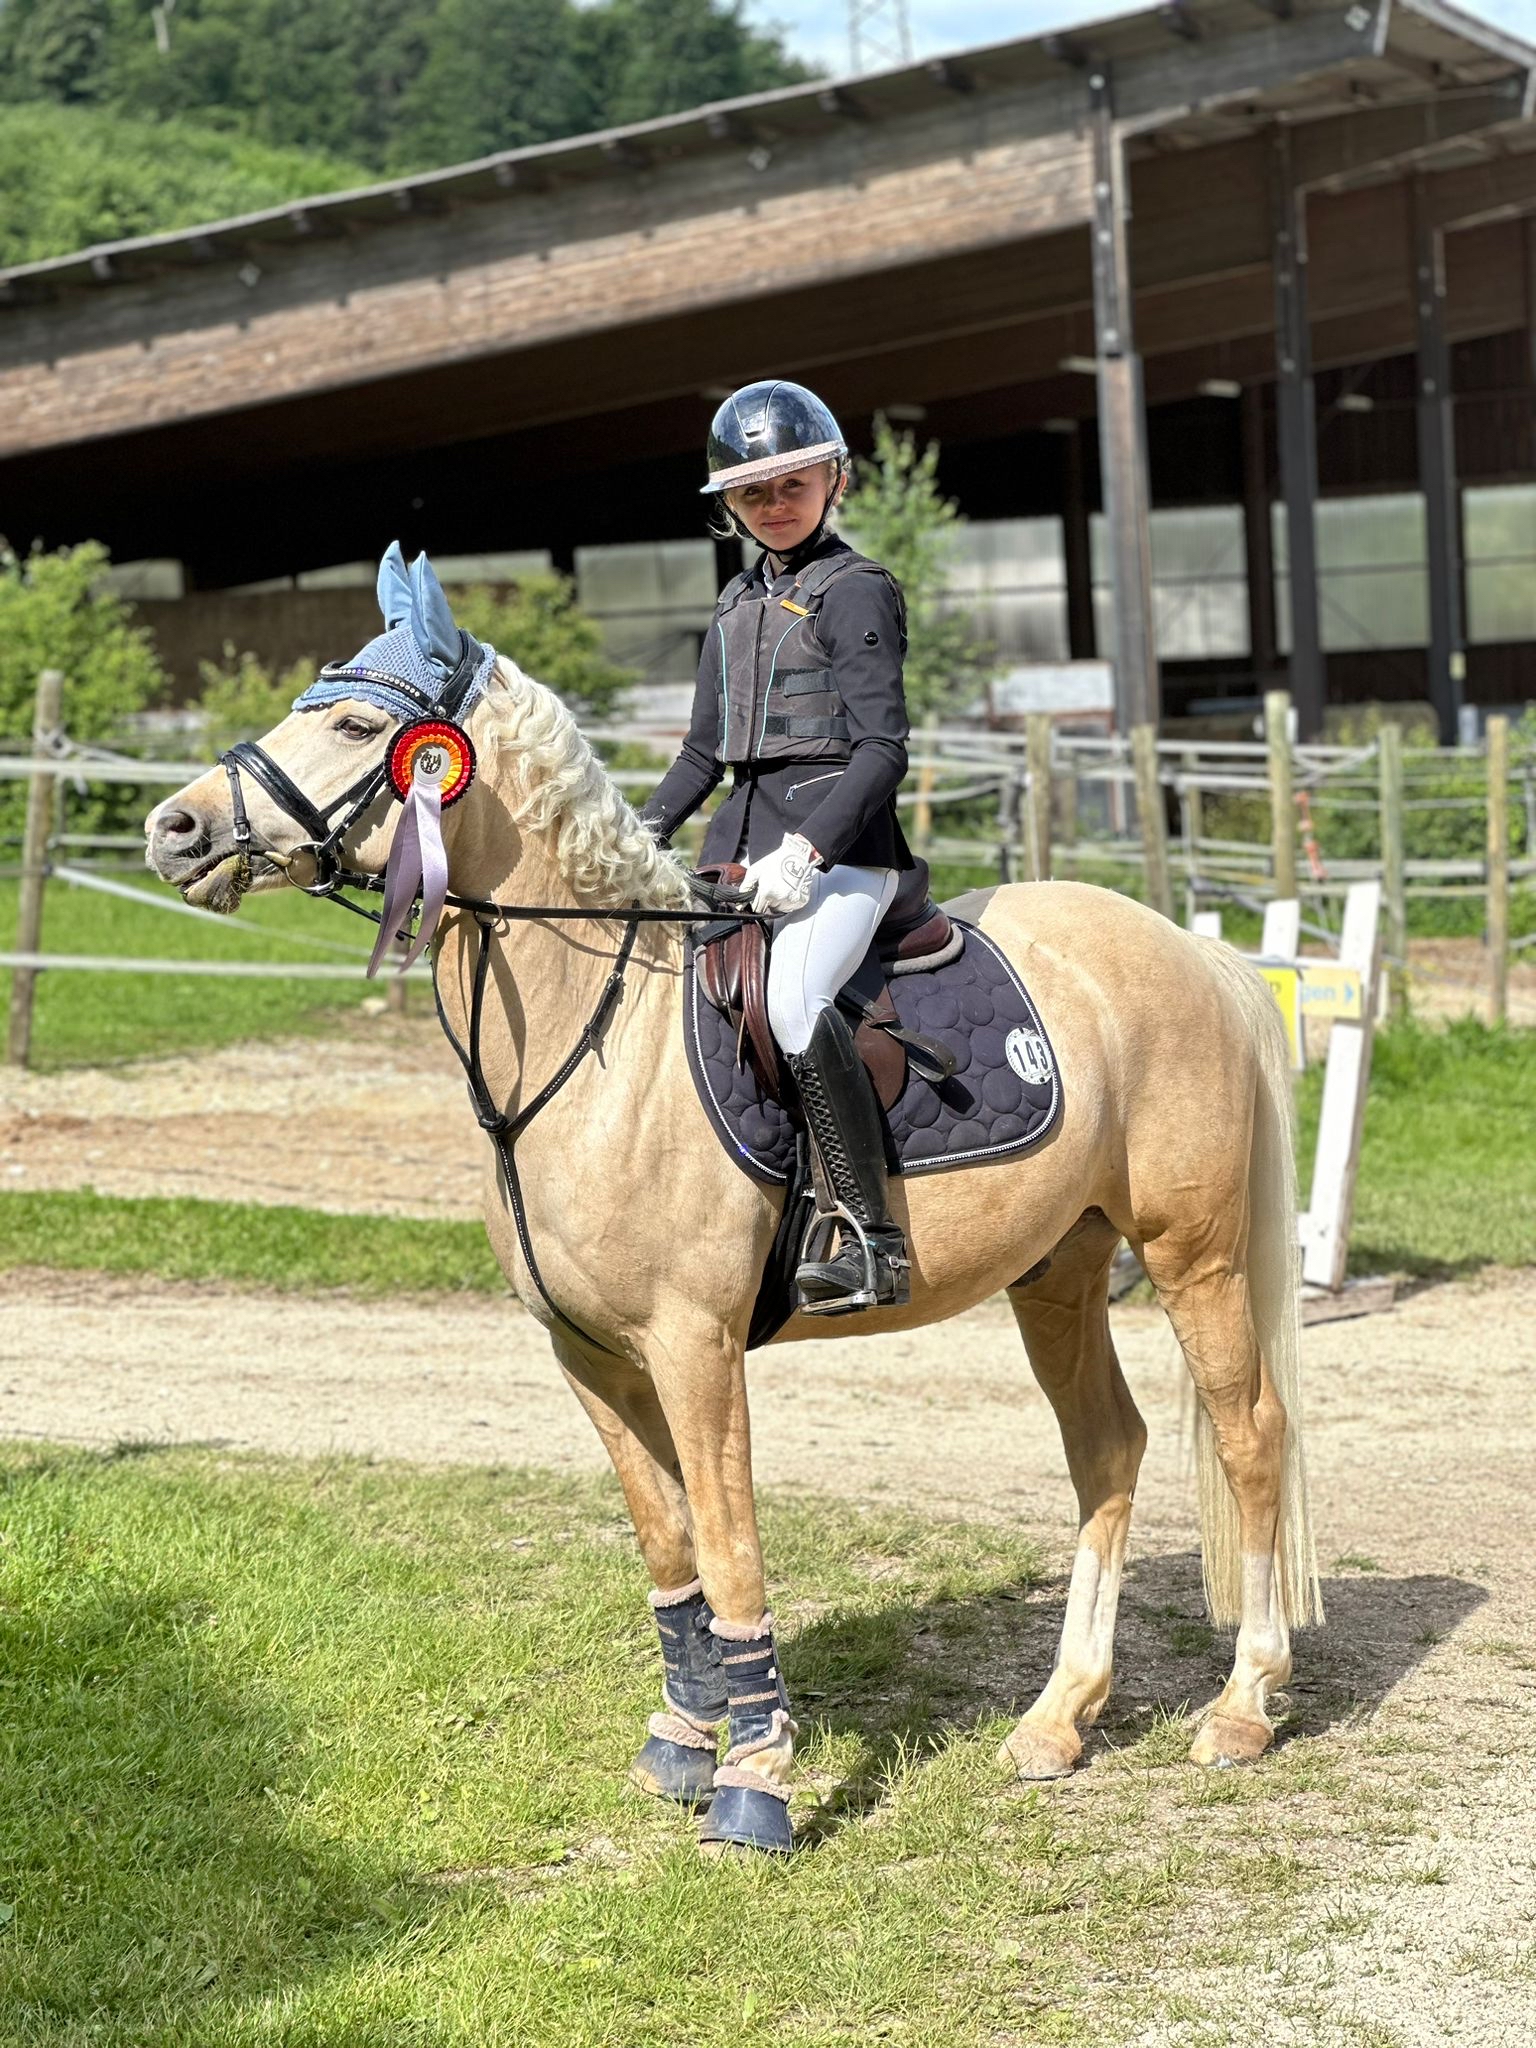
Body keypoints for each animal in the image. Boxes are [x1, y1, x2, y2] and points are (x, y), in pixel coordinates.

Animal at [147, 561, 1327, 1859]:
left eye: (360, 726)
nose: (175, 828)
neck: (592, 1038)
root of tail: (1190, 951)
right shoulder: (590, 1354)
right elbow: (670, 1546)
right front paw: (679, 1742)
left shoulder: (694, 1345)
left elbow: (731, 1546)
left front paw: (755, 1782)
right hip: (1057, 1268)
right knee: (1107, 1447)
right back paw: (1057, 1719)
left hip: (1192, 1252)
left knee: (1252, 1434)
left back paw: (1241, 1704)